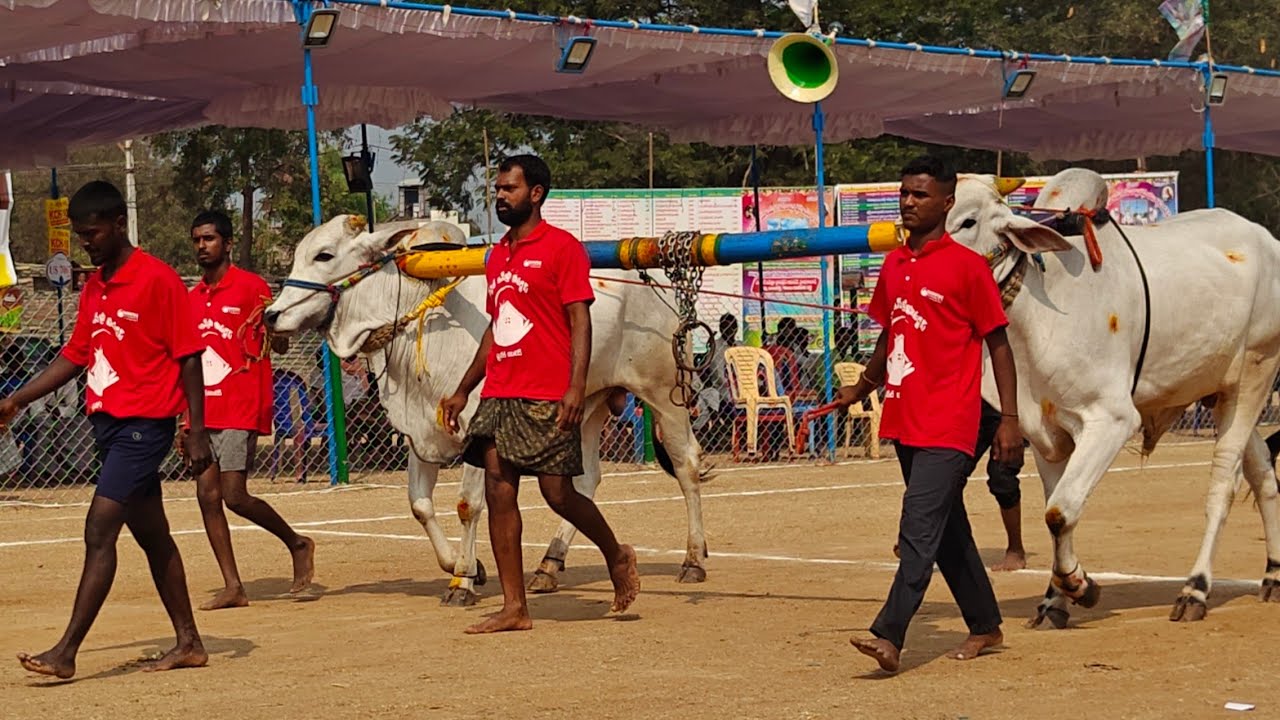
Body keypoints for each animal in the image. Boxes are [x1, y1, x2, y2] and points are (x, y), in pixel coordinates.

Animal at [263, 215, 712, 606]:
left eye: (324, 255)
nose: (271, 315)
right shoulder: (420, 431)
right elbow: (419, 504)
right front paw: (466, 566)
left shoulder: (473, 427)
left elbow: (467, 504)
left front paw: (461, 580)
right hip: (589, 403)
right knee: (585, 481)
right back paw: (549, 564)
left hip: (662, 392)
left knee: (686, 463)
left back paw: (693, 559)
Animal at [948, 169, 1280, 627]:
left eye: (968, 221)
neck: (1036, 314)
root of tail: (1268, 240)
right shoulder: (1045, 435)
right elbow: (1056, 510)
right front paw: (1055, 599)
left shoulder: (1113, 419)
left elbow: (1061, 511)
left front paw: (1079, 586)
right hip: (1220, 392)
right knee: (1263, 471)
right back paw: (1273, 575)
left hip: (1254, 375)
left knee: (1223, 486)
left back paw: (1195, 589)